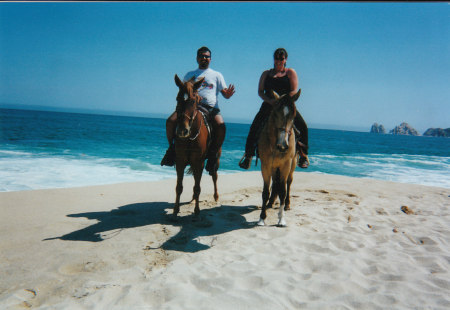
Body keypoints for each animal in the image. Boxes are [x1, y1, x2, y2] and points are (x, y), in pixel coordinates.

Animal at [172, 74, 220, 216]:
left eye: (193, 101)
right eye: (178, 99)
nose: (182, 130)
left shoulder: (199, 162)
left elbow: (198, 187)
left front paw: (197, 211)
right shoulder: (180, 161)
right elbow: (179, 187)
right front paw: (175, 211)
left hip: (215, 159)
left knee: (214, 175)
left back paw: (216, 196)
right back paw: (193, 199)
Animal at [256, 89, 302, 228]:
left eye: (293, 115)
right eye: (275, 113)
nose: (282, 146)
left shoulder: (285, 165)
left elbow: (283, 191)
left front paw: (281, 219)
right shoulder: (265, 165)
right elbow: (265, 192)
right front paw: (262, 218)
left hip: (291, 166)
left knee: (288, 183)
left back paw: (287, 205)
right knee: (274, 184)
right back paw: (270, 203)